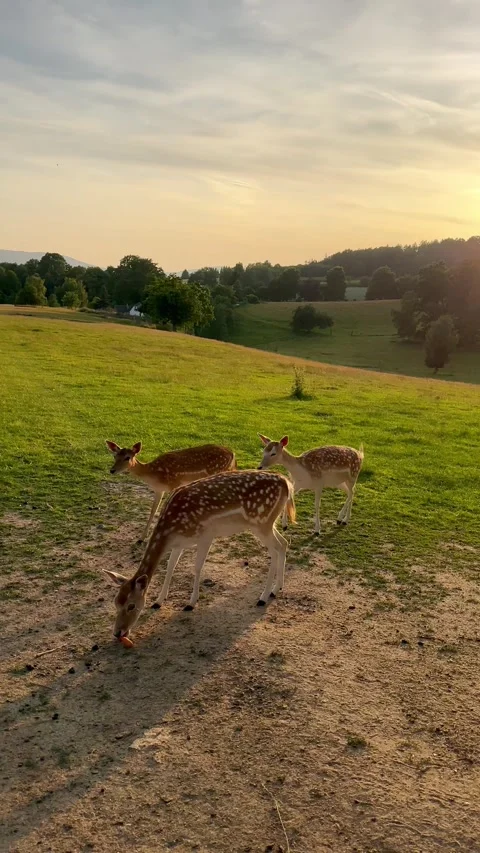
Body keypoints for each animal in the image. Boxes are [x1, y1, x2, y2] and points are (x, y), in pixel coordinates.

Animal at [104, 469, 296, 640]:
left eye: (131, 605)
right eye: (115, 602)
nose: (118, 633)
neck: (171, 529)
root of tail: (286, 482)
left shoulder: (206, 535)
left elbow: (197, 567)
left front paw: (191, 603)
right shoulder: (179, 543)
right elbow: (170, 566)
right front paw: (158, 601)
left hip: (261, 522)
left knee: (275, 549)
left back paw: (263, 596)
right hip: (268, 523)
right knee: (284, 543)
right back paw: (276, 589)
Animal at [105, 440, 236, 542]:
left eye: (128, 457)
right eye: (114, 456)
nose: (112, 470)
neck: (154, 475)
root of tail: (232, 453)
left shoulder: (174, 484)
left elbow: (164, 511)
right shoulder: (159, 490)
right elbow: (153, 511)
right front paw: (141, 538)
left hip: (217, 471)